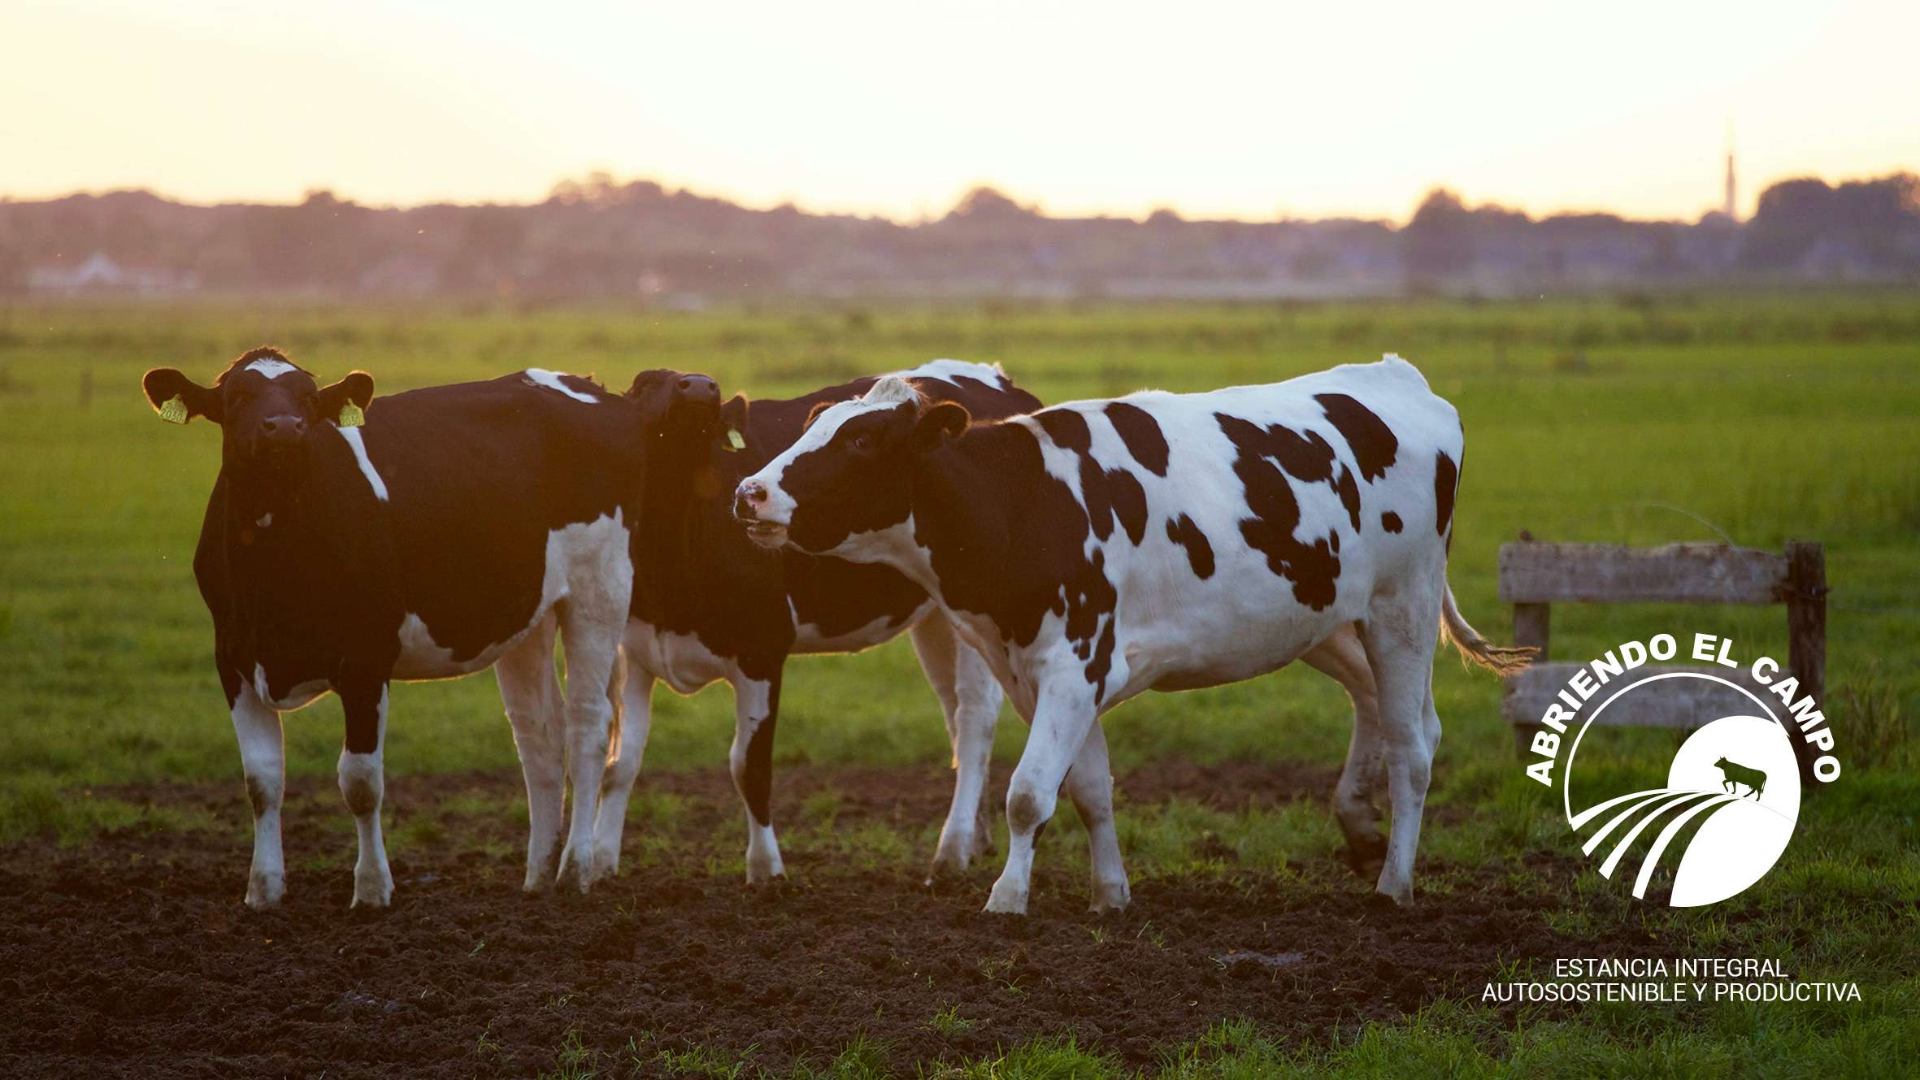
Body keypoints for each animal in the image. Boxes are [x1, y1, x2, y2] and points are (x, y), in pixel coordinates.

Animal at [141, 348, 655, 909]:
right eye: (237, 396)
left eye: (308, 398)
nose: (284, 428)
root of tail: (586, 385)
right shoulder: (233, 658)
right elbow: (261, 780)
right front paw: (264, 889)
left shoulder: (366, 660)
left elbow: (361, 782)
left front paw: (371, 888)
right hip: (530, 612)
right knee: (539, 732)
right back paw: (537, 874)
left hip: (599, 588)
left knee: (588, 725)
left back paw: (575, 869)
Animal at [592, 360, 1042, 884]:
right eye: (645, 383)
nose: (701, 386)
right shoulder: (635, 651)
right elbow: (620, 762)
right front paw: (599, 863)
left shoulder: (762, 650)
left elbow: (749, 766)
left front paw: (766, 871)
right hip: (937, 617)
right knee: (953, 713)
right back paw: (976, 837)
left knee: (973, 719)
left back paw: (951, 850)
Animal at [732, 354, 1531, 913]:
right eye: (812, 426)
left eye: (863, 440)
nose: (749, 492)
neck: (1024, 502)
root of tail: (1398, 377)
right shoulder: (1047, 673)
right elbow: (1088, 789)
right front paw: (1109, 893)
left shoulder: (1073, 663)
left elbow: (1028, 794)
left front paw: (1007, 898)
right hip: (1326, 617)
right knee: (1391, 713)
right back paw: (1360, 828)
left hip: (1403, 606)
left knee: (1412, 747)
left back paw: (1395, 883)